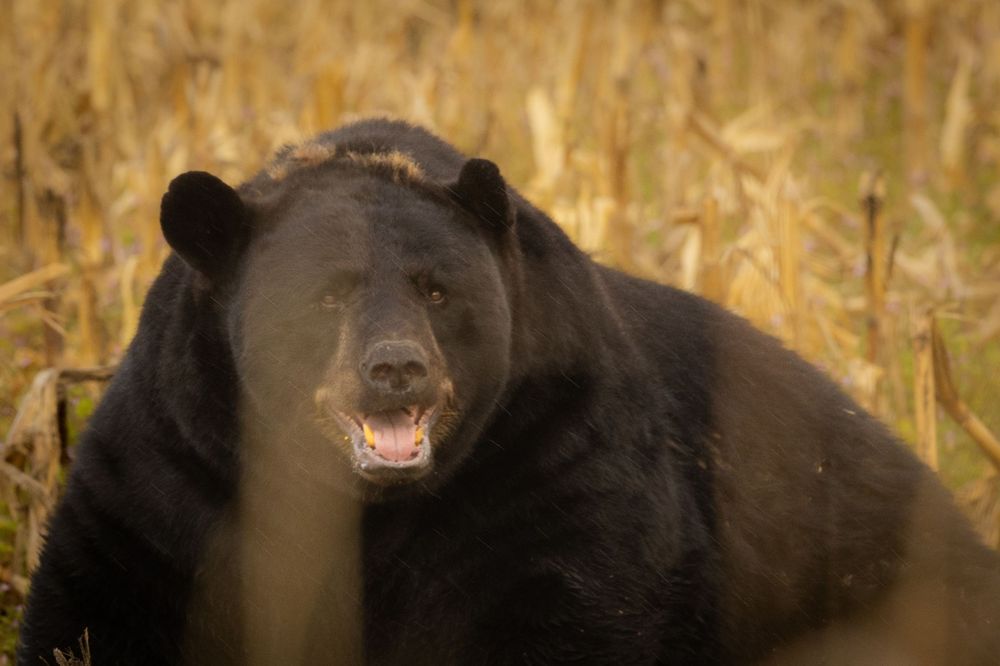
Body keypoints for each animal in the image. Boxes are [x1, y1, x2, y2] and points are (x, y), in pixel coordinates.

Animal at [18, 118, 1000, 665]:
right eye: (327, 293)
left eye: (436, 289)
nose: (396, 369)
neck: (362, 503)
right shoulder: (168, 475)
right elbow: (90, 613)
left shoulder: (556, 470)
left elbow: (577, 612)